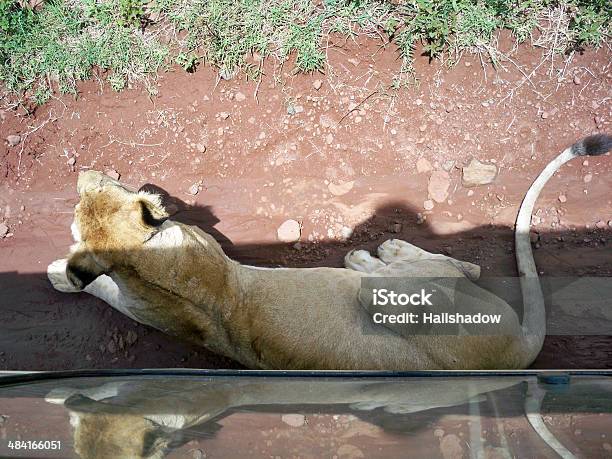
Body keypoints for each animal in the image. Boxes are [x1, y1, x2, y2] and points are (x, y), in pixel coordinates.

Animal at [49, 136, 612, 370]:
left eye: (103, 186)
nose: (83, 172)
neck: (143, 262)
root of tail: (516, 348)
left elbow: (100, 283)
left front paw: (59, 269)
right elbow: (101, 285)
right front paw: (62, 271)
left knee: (461, 263)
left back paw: (375, 253)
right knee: (459, 265)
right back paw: (373, 256)